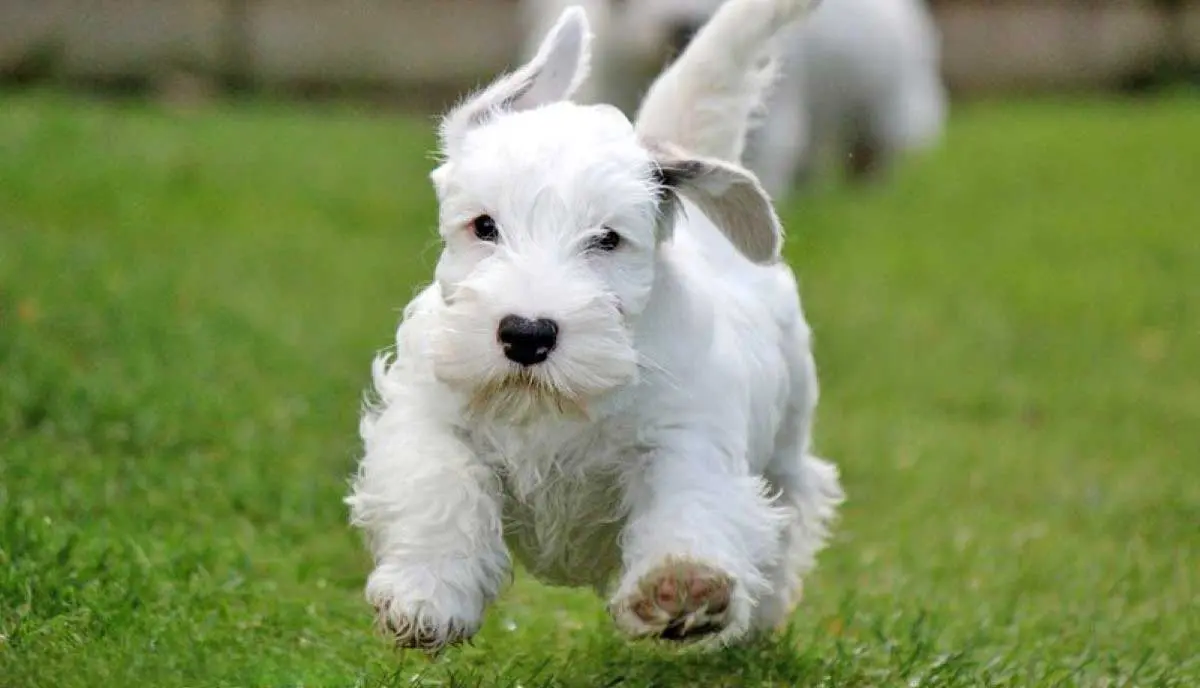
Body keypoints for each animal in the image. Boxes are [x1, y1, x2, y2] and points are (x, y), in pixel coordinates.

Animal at [348, 0, 844, 653]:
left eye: (607, 239)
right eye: (484, 226)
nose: (527, 334)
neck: (551, 404)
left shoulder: (683, 435)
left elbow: (690, 501)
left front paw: (682, 585)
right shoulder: (431, 417)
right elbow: (440, 488)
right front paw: (427, 595)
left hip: (787, 445)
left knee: (787, 513)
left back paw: (754, 620)